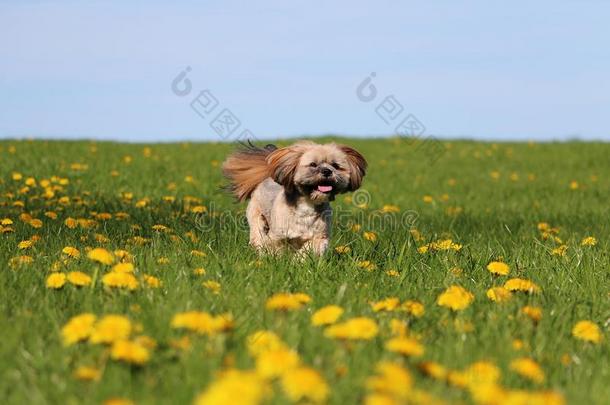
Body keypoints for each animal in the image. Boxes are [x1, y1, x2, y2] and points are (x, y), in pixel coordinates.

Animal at [223, 141, 366, 256]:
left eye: (335, 165)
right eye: (313, 164)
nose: (327, 171)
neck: (307, 205)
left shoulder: (319, 237)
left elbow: (308, 251)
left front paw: (298, 262)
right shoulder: (278, 236)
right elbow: (277, 249)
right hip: (256, 218)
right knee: (258, 236)